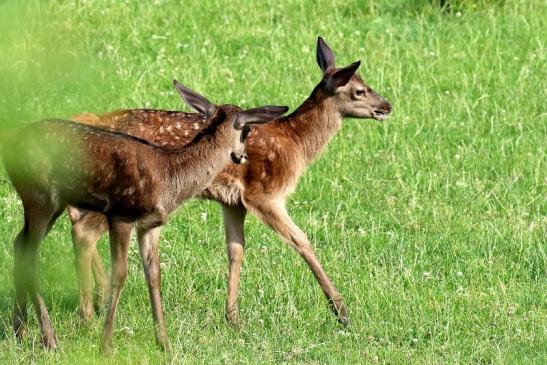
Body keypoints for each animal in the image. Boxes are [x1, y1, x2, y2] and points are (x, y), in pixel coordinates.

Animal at [2, 81, 286, 352]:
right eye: (246, 131)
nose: (243, 157)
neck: (170, 177)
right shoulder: (122, 213)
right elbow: (120, 274)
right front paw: (107, 344)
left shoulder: (151, 224)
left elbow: (154, 275)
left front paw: (165, 344)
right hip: (39, 196)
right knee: (30, 255)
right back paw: (49, 338)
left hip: (50, 203)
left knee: (19, 244)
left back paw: (20, 330)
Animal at [69, 37, 394, 328]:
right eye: (359, 90)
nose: (387, 106)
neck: (295, 145)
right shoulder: (265, 194)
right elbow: (302, 241)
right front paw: (341, 312)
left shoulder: (234, 202)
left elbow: (236, 250)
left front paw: (233, 317)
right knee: (84, 230)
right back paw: (90, 312)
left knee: (77, 219)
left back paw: (98, 298)